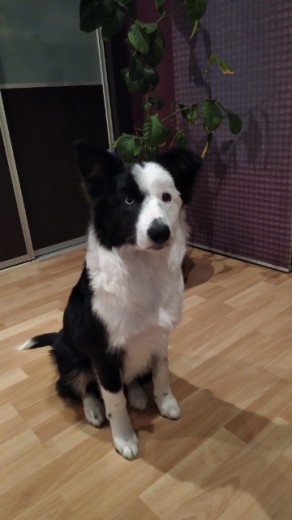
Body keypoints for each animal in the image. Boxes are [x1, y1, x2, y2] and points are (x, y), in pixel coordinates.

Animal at [19, 142, 202, 460]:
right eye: (128, 200)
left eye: (167, 197)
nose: (160, 232)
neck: (142, 269)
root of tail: (57, 337)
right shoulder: (102, 352)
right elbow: (114, 401)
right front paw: (125, 438)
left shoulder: (159, 336)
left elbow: (162, 374)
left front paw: (165, 403)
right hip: (69, 354)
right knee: (76, 386)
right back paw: (93, 409)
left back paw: (138, 394)